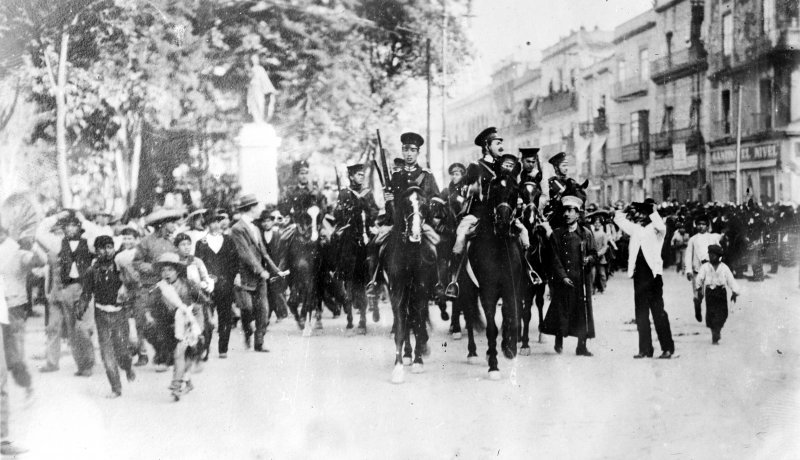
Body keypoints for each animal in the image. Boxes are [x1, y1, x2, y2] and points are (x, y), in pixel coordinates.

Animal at [382, 188, 434, 384]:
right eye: (406, 205)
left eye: (425, 206)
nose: (415, 235)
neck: (410, 254)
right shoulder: (397, 292)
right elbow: (400, 325)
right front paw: (398, 368)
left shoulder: (421, 291)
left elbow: (418, 323)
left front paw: (418, 361)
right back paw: (406, 355)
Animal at [468, 174, 524, 380]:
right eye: (494, 190)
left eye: (515, 191)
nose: (503, 224)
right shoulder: (488, 293)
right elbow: (491, 328)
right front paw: (493, 366)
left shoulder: (511, 289)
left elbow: (512, 318)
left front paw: (509, 348)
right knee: (469, 317)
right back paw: (472, 352)